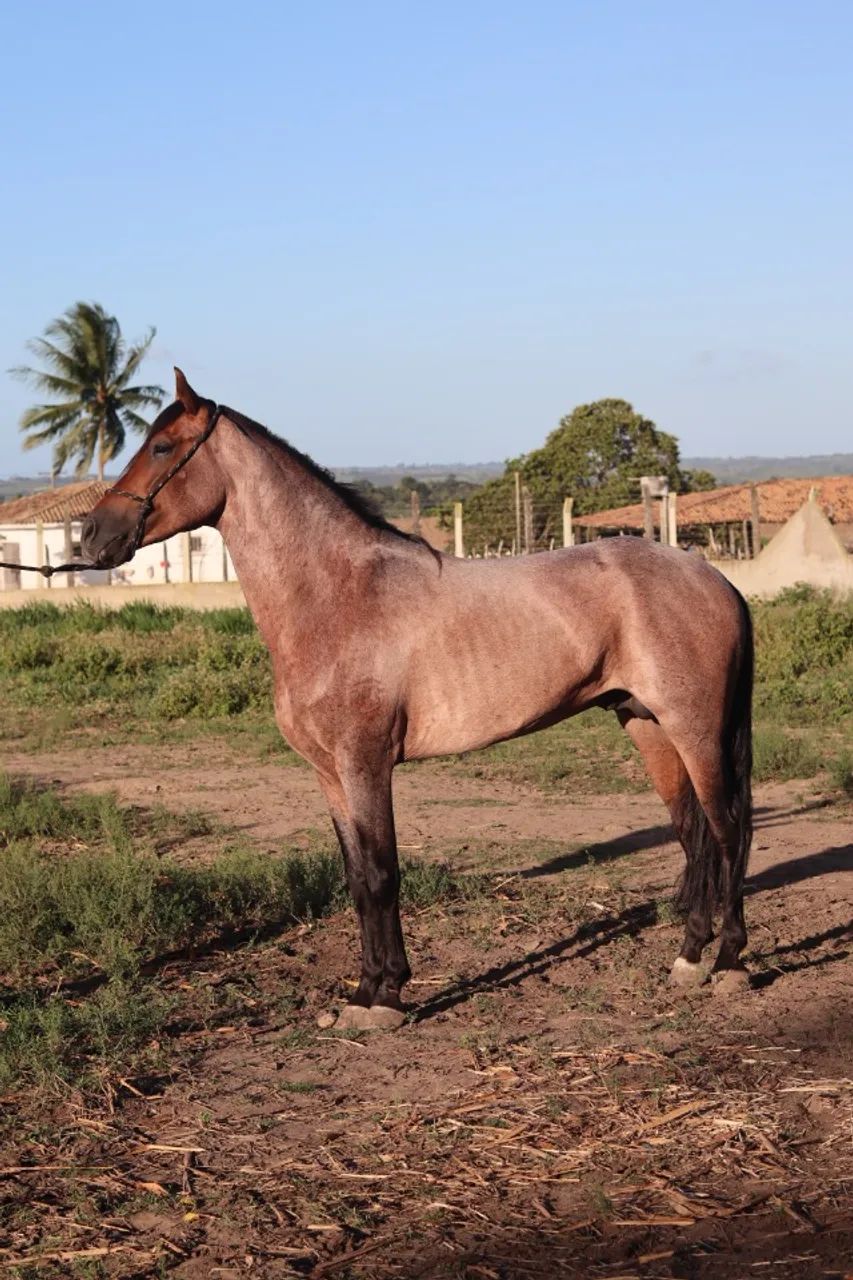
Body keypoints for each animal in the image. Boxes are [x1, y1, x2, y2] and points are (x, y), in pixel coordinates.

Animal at [82, 370, 753, 1030]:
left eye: (161, 448)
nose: (92, 534)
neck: (338, 595)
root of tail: (714, 579)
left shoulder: (366, 764)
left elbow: (382, 873)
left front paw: (386, 999)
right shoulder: (330, 774)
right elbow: (356, 878)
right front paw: (366, 991)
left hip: (694, 729)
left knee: (726, 832)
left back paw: (729, 962)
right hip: (646, 724)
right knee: (693, 833)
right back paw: (689, 958)